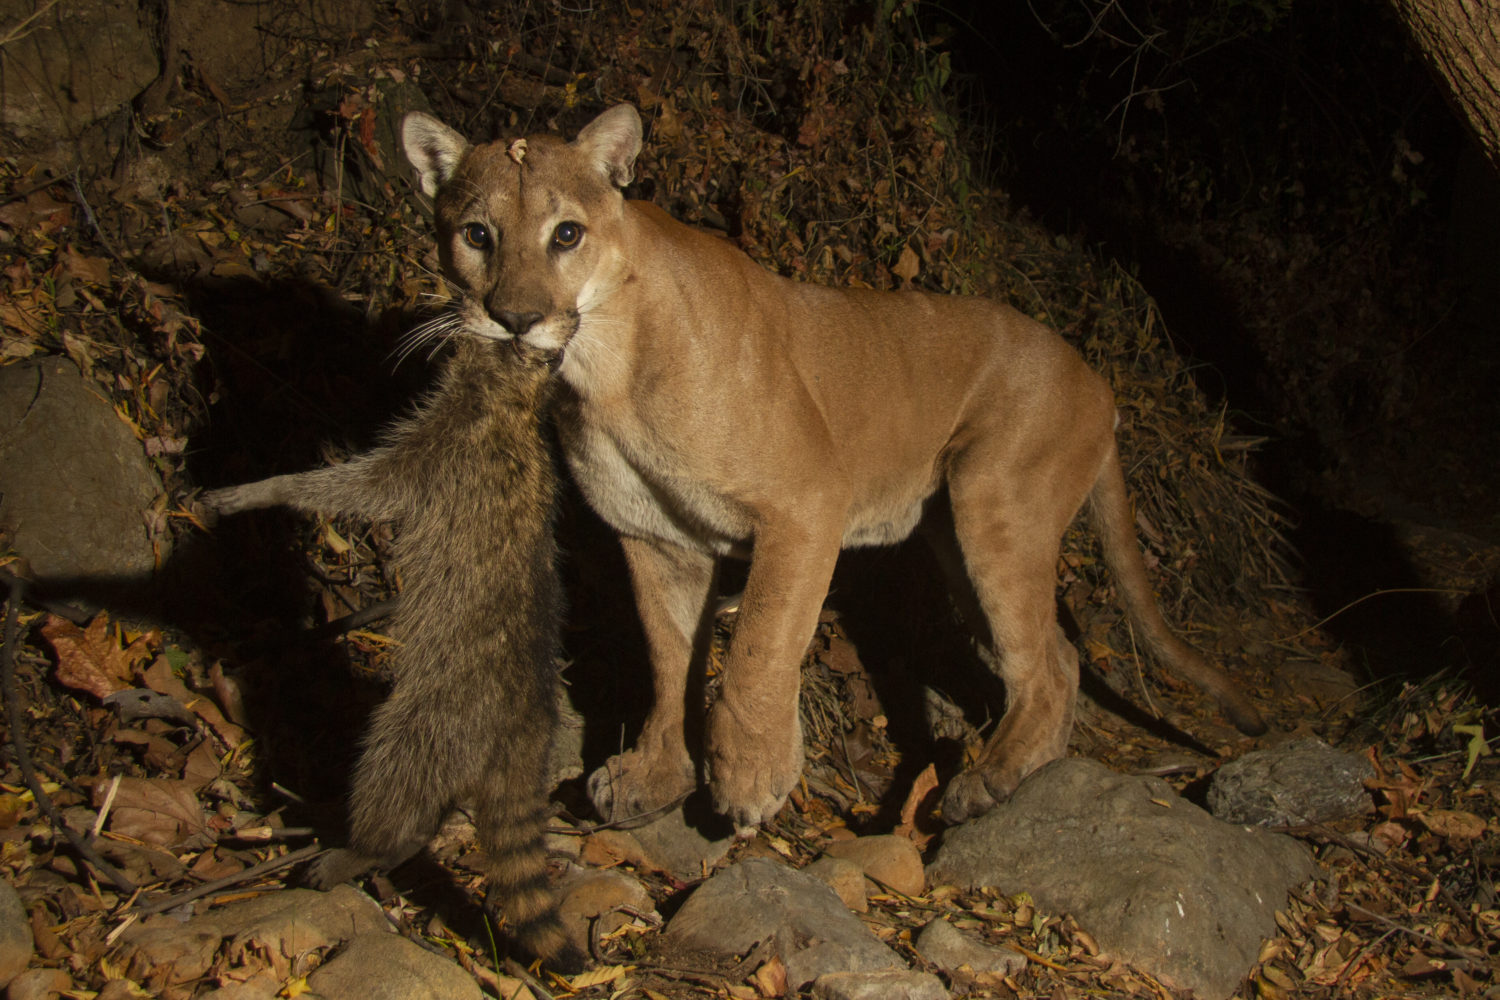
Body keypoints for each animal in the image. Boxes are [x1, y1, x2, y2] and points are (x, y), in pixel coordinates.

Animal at [402, 105, 1266, 833]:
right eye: (477, 234)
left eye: (566, 234)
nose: (514, 317)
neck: (602, 364)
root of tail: (1101, 383)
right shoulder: (658, 539)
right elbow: (667, 659)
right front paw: (655, 776)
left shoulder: (805, 506)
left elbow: (758, 647)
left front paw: (749, 777)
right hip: (955, 535)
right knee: (1057, 655)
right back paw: (1014, 777)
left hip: (996, 501)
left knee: (1048, 665)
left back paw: (984, 785)